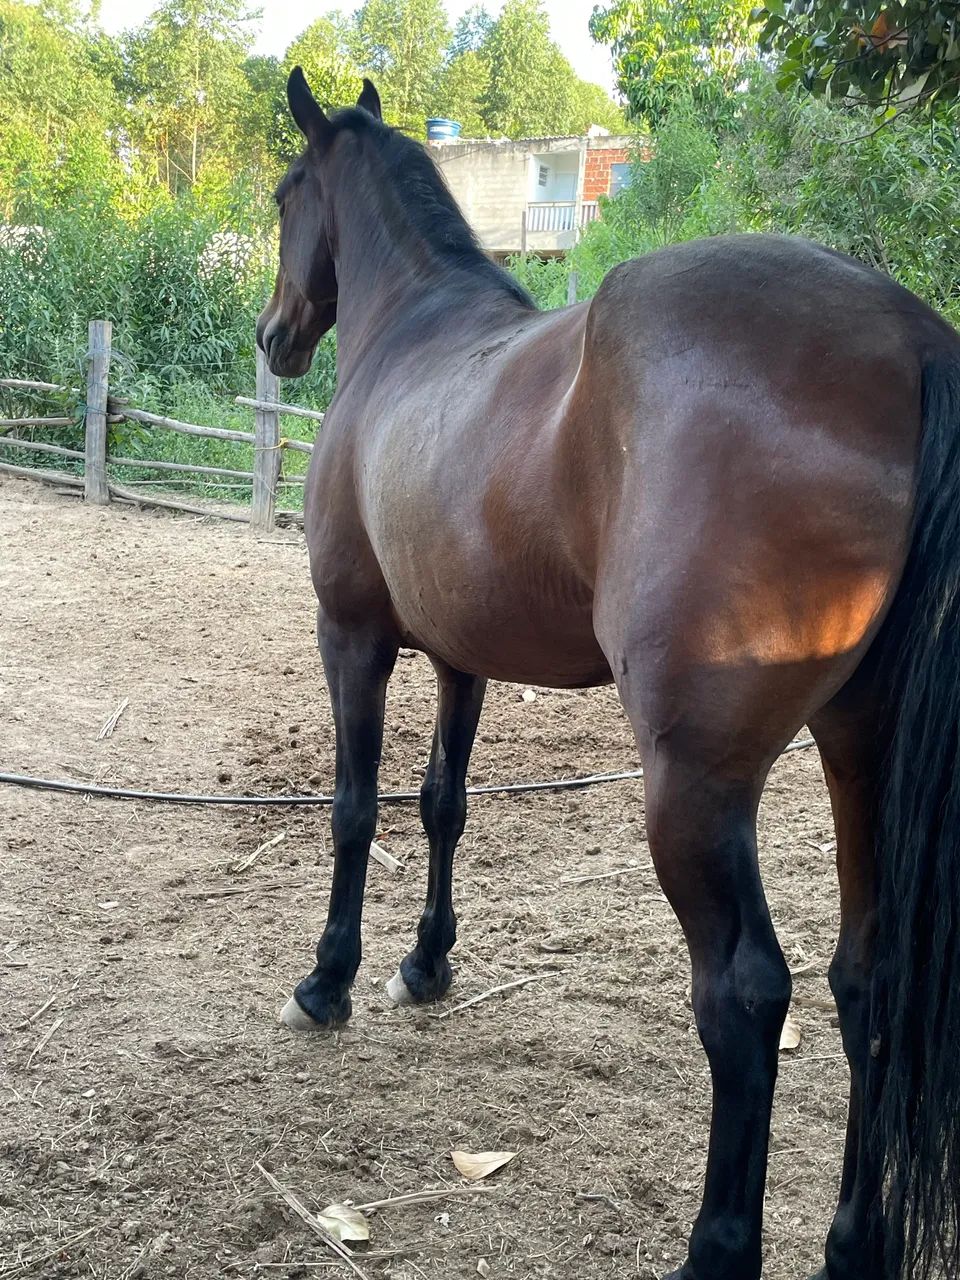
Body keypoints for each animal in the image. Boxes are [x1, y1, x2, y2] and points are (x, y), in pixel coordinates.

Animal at [256, 68, 960, 1280]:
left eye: (287, 192)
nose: (272, 336)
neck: (412, 335)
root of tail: (914, 345)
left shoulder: (350, 635)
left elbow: (354, 810)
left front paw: (328, 981)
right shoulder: (463, 656)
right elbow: (442, 804)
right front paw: (426, 966)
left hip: (697, 786)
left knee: (747, 994)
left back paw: (717, 1247)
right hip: (860, 748)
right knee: (867, 983)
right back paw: (852, 1244)